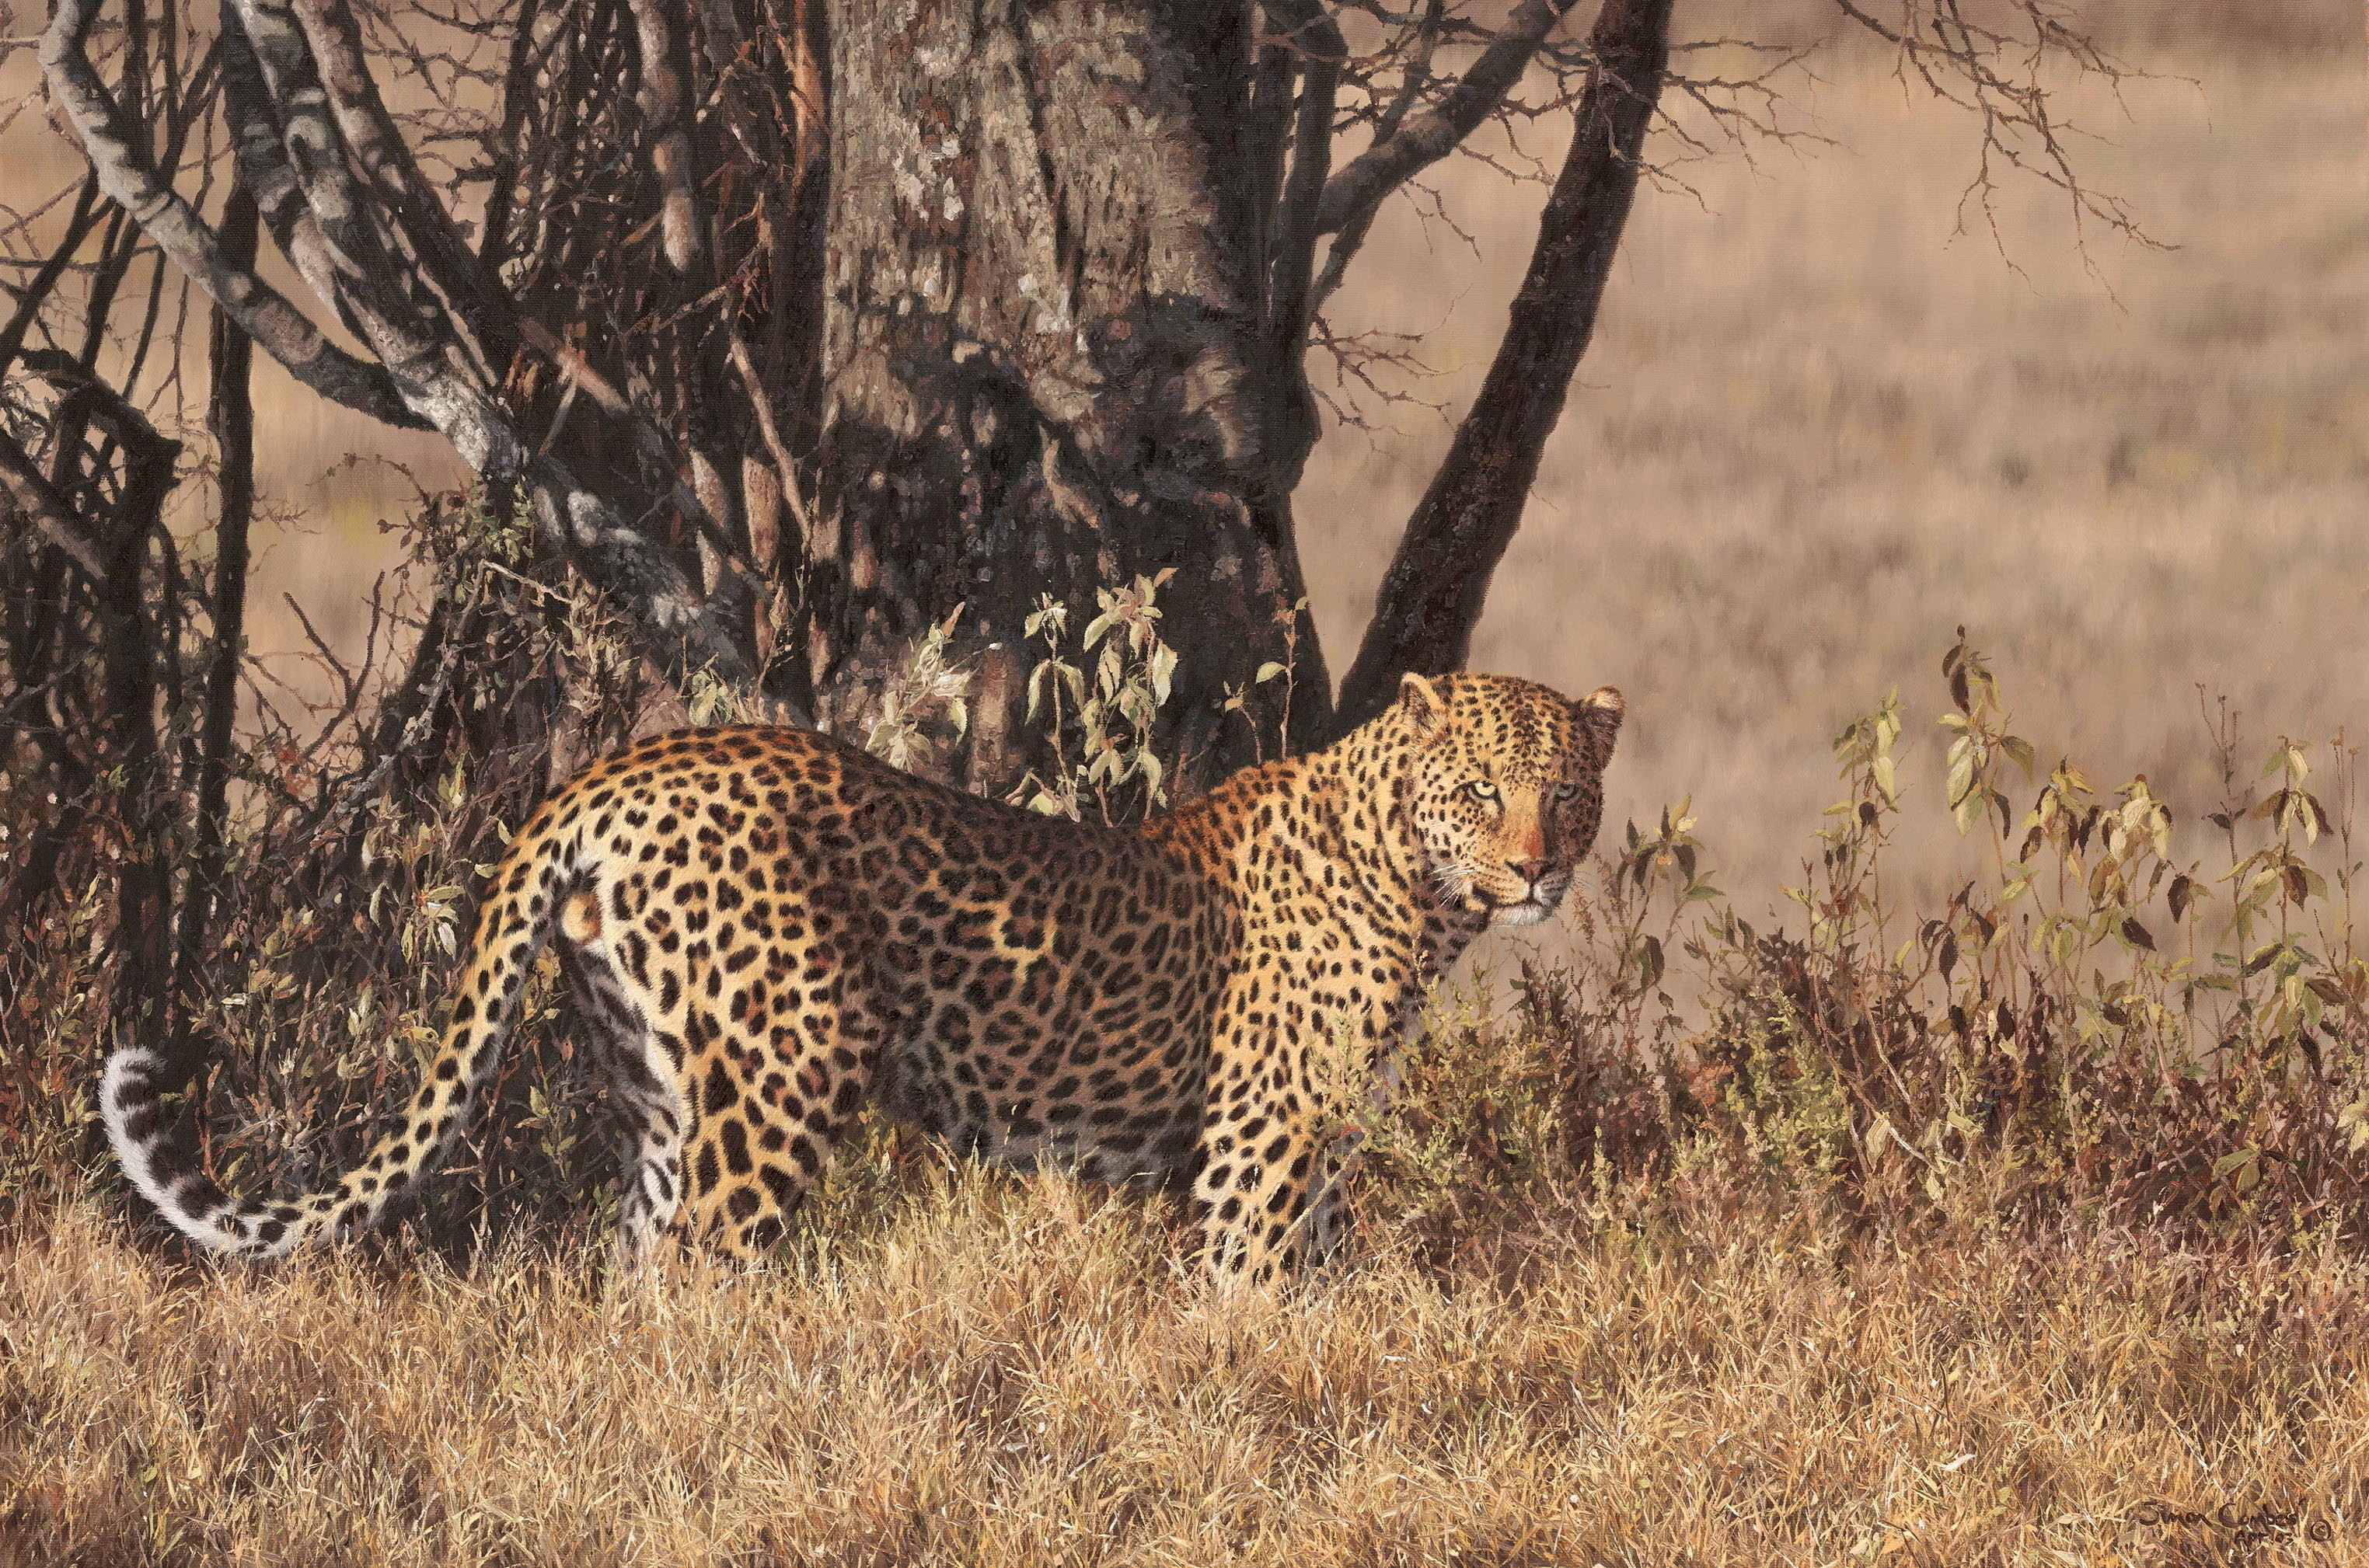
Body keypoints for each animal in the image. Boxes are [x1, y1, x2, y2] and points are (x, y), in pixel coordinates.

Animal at [103, 670, 1624, 1282]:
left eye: (1566, 792)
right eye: (1481, 790)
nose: (1538, 869)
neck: (1417, 888)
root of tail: (614, 770)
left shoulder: (1310, 1147)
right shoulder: (1263, 1141)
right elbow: (1247, 1295)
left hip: (659, 1085)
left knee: (638, 1272)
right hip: (788, 1067)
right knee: (707, 1269)